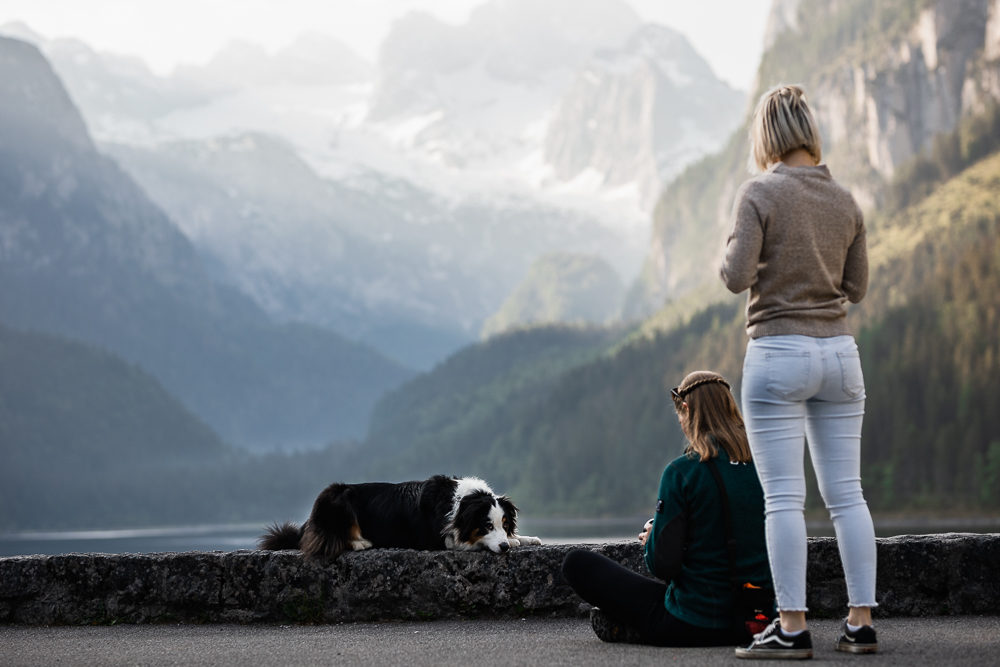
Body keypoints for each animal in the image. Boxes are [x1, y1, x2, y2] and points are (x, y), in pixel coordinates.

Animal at [258, 474, 540, 560]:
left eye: (503, 524)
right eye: (486, 525)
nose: (503, 548)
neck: (463, 503)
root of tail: (307, 522)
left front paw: (523, 539)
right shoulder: (439, 538)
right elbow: (468, 540)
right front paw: (512, 541)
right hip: (338, 495)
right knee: (328, 539)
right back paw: (361, 542)